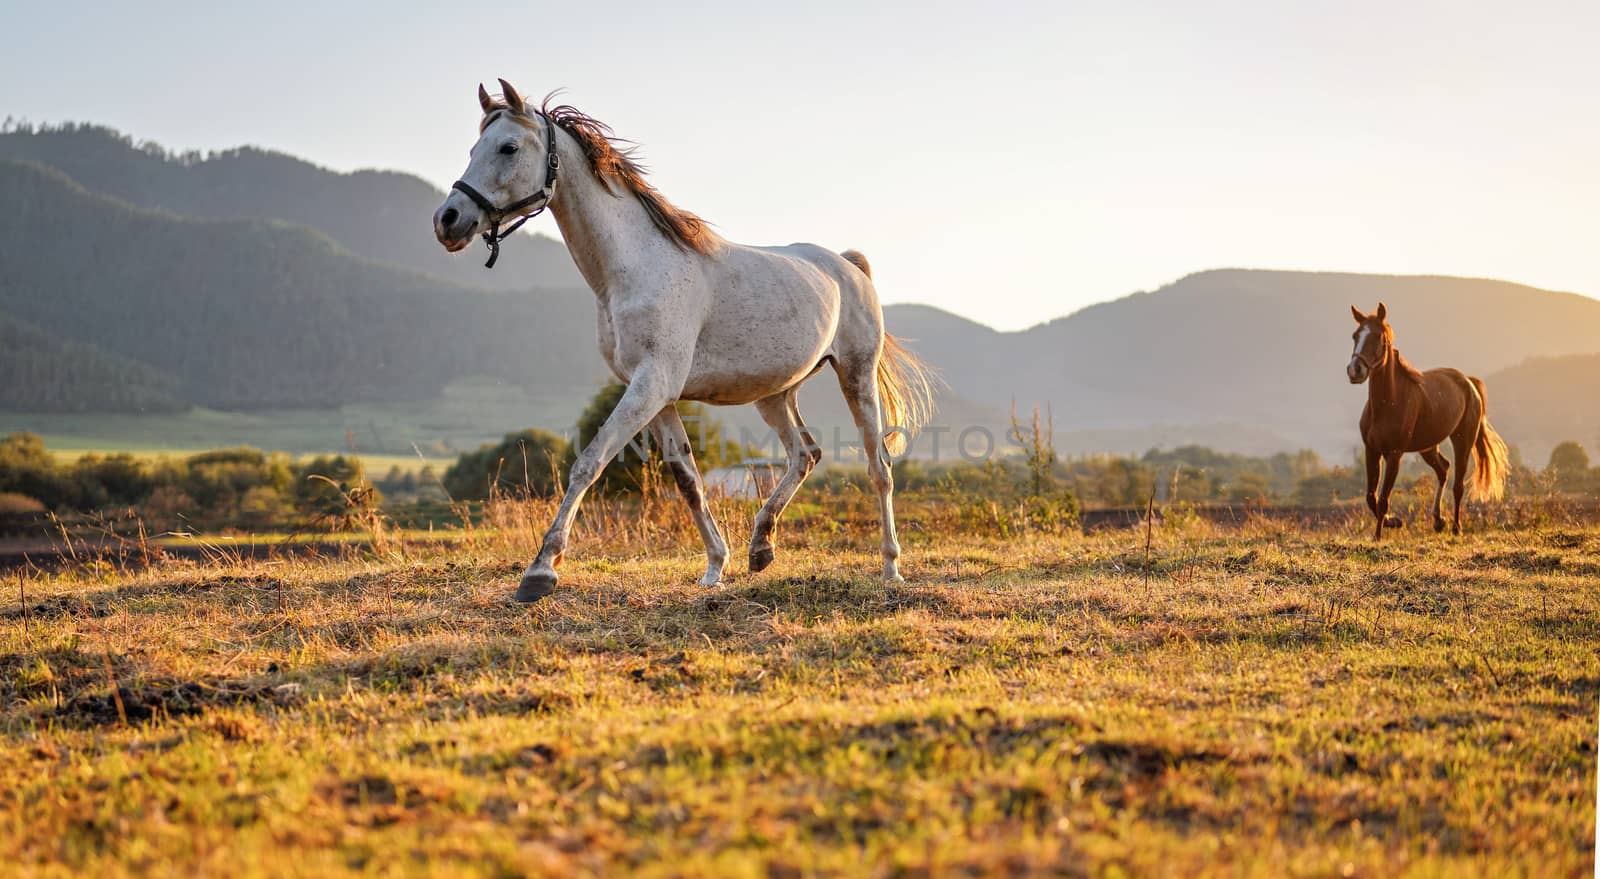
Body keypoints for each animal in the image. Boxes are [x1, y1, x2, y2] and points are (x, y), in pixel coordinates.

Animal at [438, 80, 934, 602]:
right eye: (473, 148)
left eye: (508, 147)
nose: (448, 219)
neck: (635, 267)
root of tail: (847, 265)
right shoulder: (656, 393)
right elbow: (687, 479)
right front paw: (716, 566)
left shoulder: (652, 384)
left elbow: (589, 462)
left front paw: (540, 571)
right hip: (775, 394)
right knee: (805, 454)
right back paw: (761, 547)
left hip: (856, 376)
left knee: (878, 468)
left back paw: (890, 567)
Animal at [1344, 301, 1504, 537]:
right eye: (1356, 335)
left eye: (1378, 337)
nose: (1355, 370)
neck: (1387, 403)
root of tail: (1468, 382)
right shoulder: (1372, 450)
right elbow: (1371, 497)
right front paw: (1394, 522)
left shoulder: (1395, 454)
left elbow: (1383, 499)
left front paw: (1379, 534)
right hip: (1428, 447)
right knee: (1443, 469)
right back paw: (1438, 520)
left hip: (1462, 441)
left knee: (1458, 485)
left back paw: (1456, 527)